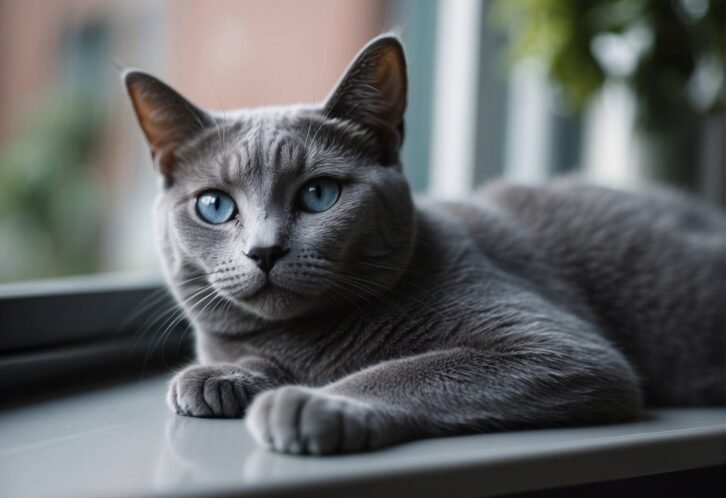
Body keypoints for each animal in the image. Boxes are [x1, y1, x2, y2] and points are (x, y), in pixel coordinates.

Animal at [125, 34, 726, 456]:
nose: (264, 250)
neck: (305, 339)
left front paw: (312, 401)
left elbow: (406, 370)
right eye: (214, 206)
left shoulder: (558, 347)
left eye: (318, 194)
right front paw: (219, 377)